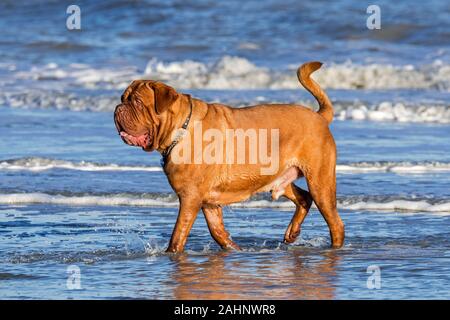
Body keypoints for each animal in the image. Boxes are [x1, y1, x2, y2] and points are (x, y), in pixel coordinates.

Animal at [113, 62, 344, 252]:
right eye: (124, 99)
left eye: (137, 102)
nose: (118, 108)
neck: (180, 129)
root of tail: (319, 116)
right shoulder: (209, 203)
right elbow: (218, 232)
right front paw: (235, 249)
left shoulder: (190, 198)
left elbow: (178, 235)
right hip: (279, 178)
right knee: (304, 198)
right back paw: (292, 233)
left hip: (320, 182)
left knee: (334, 221)